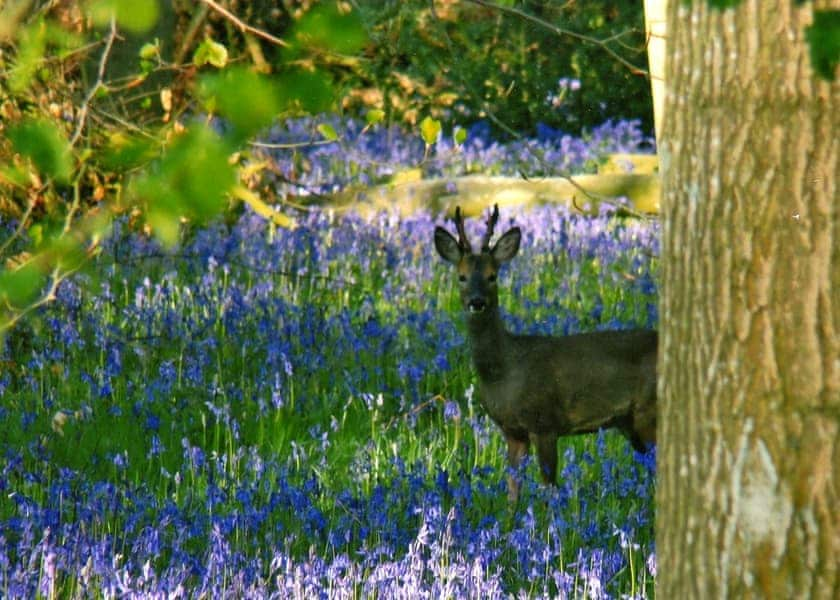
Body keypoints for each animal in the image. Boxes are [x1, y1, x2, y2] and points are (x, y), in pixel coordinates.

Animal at [436, 205, 660, 502]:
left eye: (492, 276)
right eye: (461, 277)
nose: (477, 302)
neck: (503, 372)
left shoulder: (545, 422)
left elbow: (549, 489)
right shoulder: (512, 431)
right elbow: (513, 493)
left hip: (649, 410)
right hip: (630, 423)